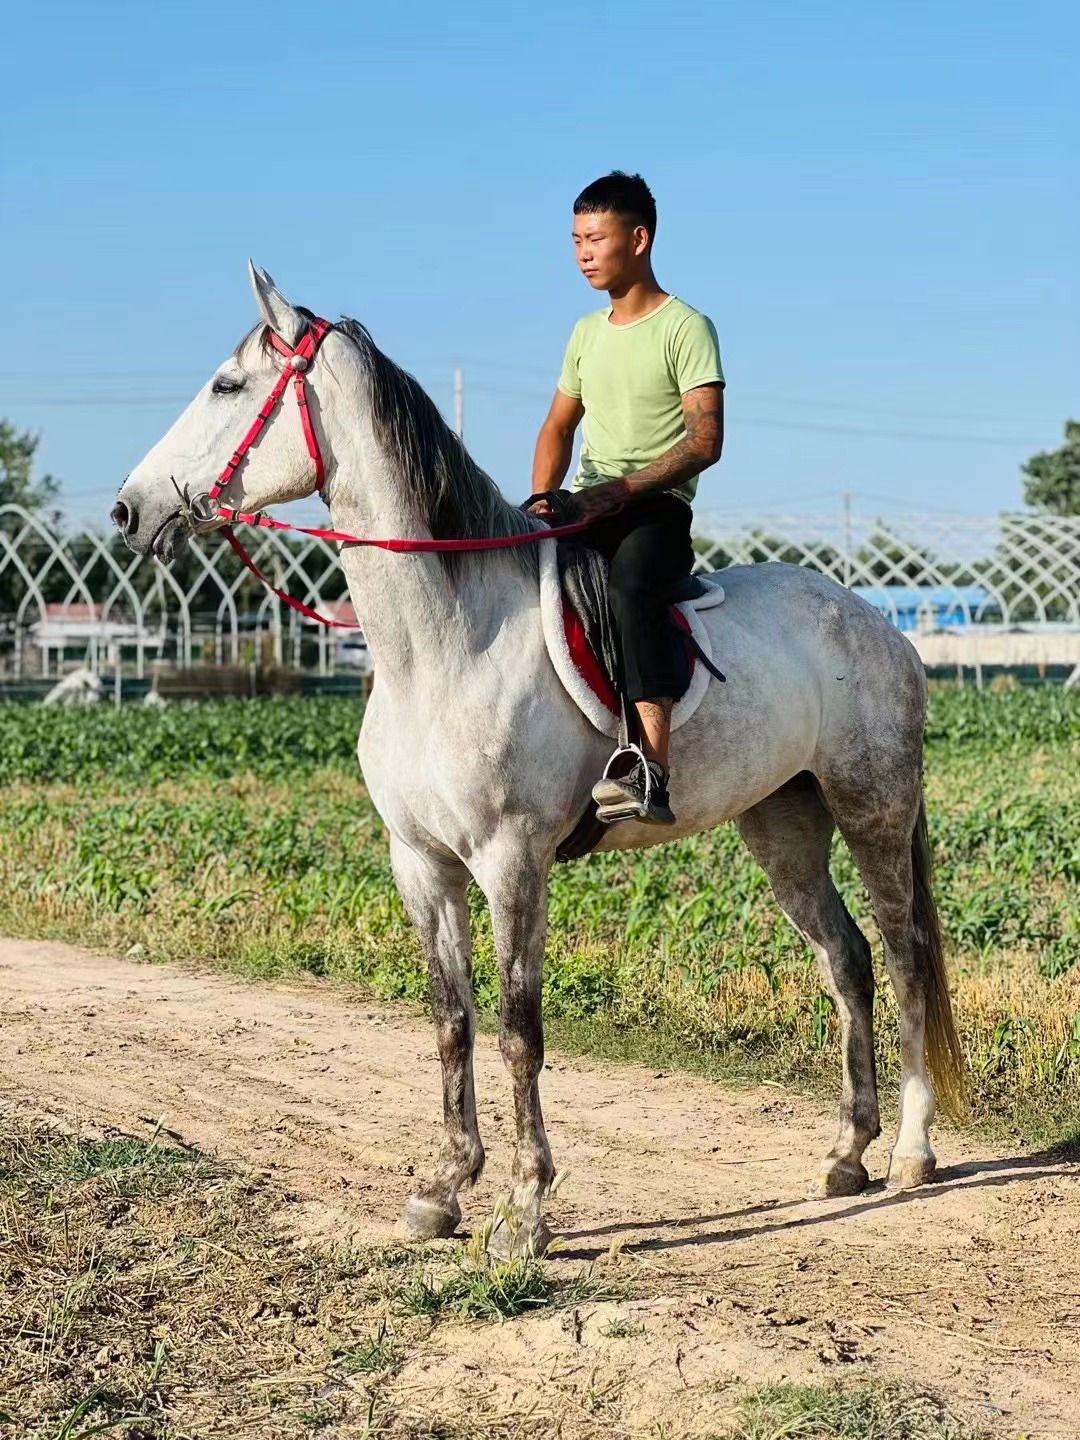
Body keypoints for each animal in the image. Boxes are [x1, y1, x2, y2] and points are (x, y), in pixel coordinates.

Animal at [114, 267, 967, 1249]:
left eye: (226, 385)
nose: (128, 510)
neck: (439, 647)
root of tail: (876, 622)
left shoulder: (511, 860)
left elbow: (521, 1027)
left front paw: (524, 1210)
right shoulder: (421, 864)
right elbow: (451, 1020)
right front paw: (444, 1188)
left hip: (872, 811)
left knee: (903, 957)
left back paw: (911, 1153)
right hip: (782, 826)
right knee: (846, 961)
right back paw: (846, 1155)